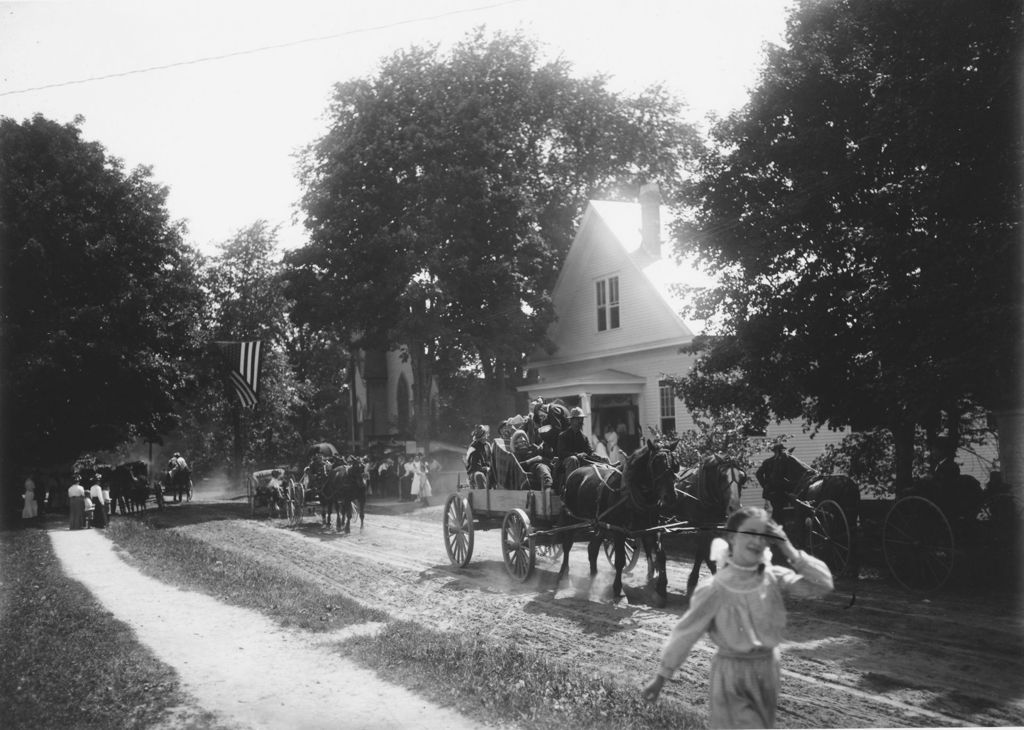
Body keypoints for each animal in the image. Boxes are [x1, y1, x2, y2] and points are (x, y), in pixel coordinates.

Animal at [557, 438, 684, 597]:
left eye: (675, 464)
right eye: (656, 463)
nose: (670, 497)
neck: (631, 492)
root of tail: (573, 474)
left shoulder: (653, 528)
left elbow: (661, 555)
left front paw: (662, 587)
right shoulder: (618, 531)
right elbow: (620, 560)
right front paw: (618, 588)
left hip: (600, 524)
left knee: (592, 548)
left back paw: (593, 577)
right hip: (572, 519)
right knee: (567, 545)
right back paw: (563, 575)